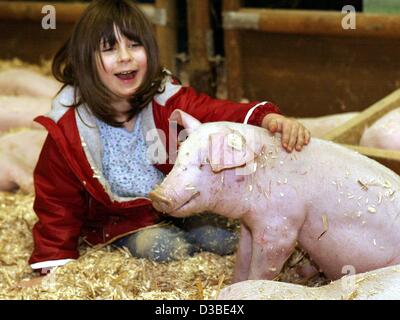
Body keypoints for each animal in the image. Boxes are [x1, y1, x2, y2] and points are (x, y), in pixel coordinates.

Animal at [149, 110, 400, 282]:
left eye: (204, 164)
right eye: (180, 154)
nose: (158, 195)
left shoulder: (279, 229)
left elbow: (264, 266)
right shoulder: (249, 225)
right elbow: (242, 257)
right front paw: (233, 283)